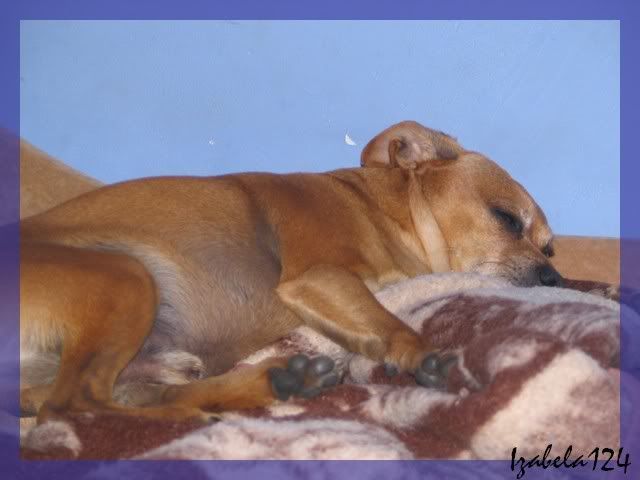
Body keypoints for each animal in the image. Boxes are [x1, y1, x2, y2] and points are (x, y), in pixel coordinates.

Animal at [20, 120, 561, 424]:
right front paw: (426, 355)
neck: (378, 210)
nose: (554, 279)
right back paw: (194, 416)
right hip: (126, 275)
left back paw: (275, 384)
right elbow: (389, 323)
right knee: (73, 404)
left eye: (550, 249)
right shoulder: (322, 276)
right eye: (507, 218)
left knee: (127, 391)